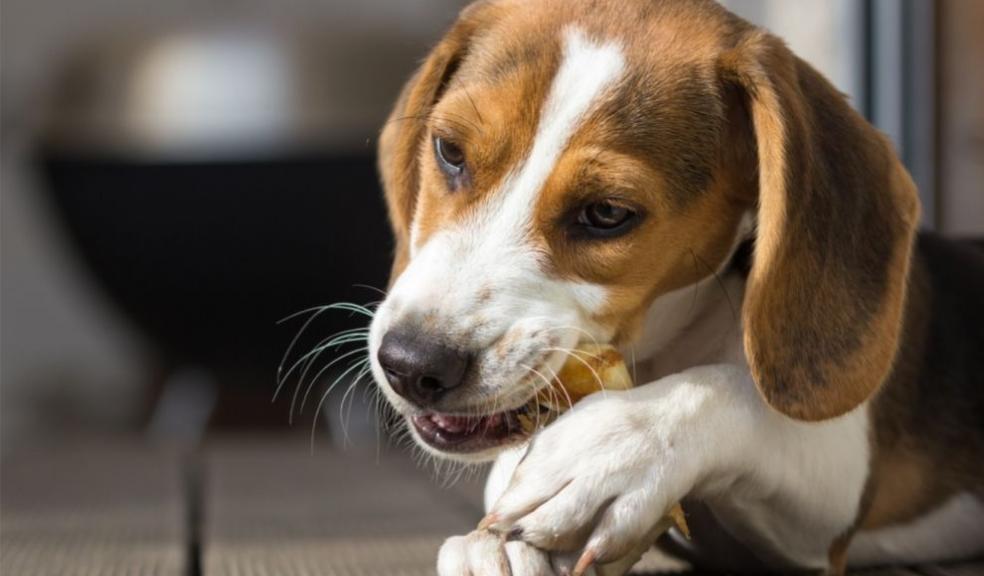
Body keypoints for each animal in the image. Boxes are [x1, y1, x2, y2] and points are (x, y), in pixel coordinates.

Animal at [368, 0, 984, 572]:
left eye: (607, 213)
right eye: (450, 152)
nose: (411, 364)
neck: (666, 343)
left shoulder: (830, 495)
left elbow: (736, 393)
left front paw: (611, 448)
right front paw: (492, 548)